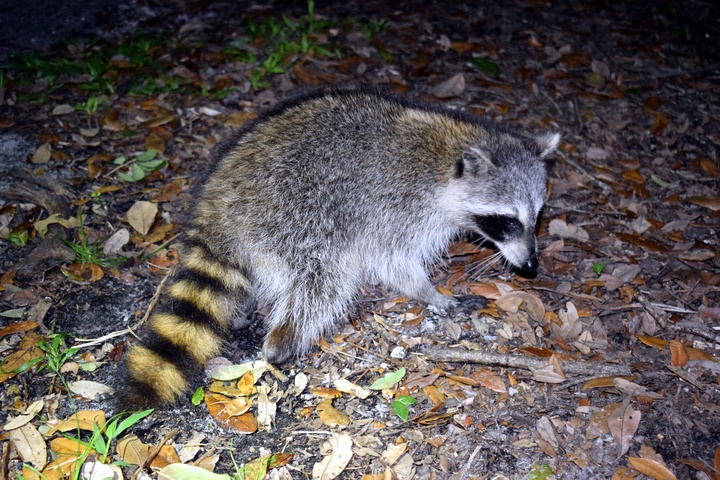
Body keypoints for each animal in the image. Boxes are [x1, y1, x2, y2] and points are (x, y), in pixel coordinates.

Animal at [121, 86, 560, 404]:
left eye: (537, 217)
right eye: (507, 221)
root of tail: (217, 205)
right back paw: (283, 340)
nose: (531, 266)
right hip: (299, 215)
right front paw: (432, 293)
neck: (447, 160)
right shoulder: (396, 206)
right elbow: (391, 260)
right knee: (323, 280)